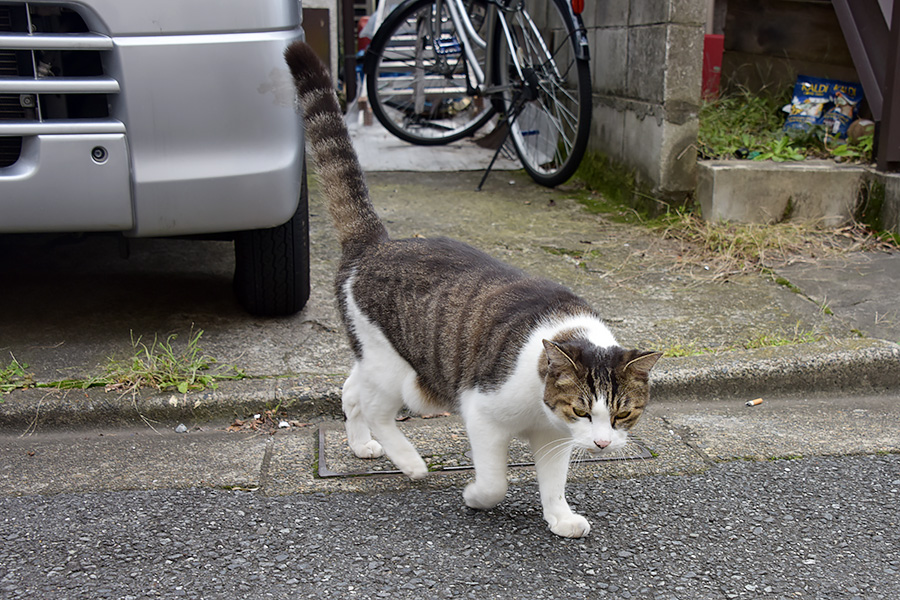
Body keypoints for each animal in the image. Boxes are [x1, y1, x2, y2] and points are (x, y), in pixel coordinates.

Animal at [288, 43, 660, 540]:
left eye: (622, 415)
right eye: (584, 411)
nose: (602, 443)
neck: (541, 407)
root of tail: (377, 242)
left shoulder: (554, 438)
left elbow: (553, 482)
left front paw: (560, 517)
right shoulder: (482, 412)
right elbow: (496, 480)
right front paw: (477, 497)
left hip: (375, 356)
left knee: (350, 390)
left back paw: (362, 444)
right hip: (400, 370)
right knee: (377, 407)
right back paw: (409, 461)